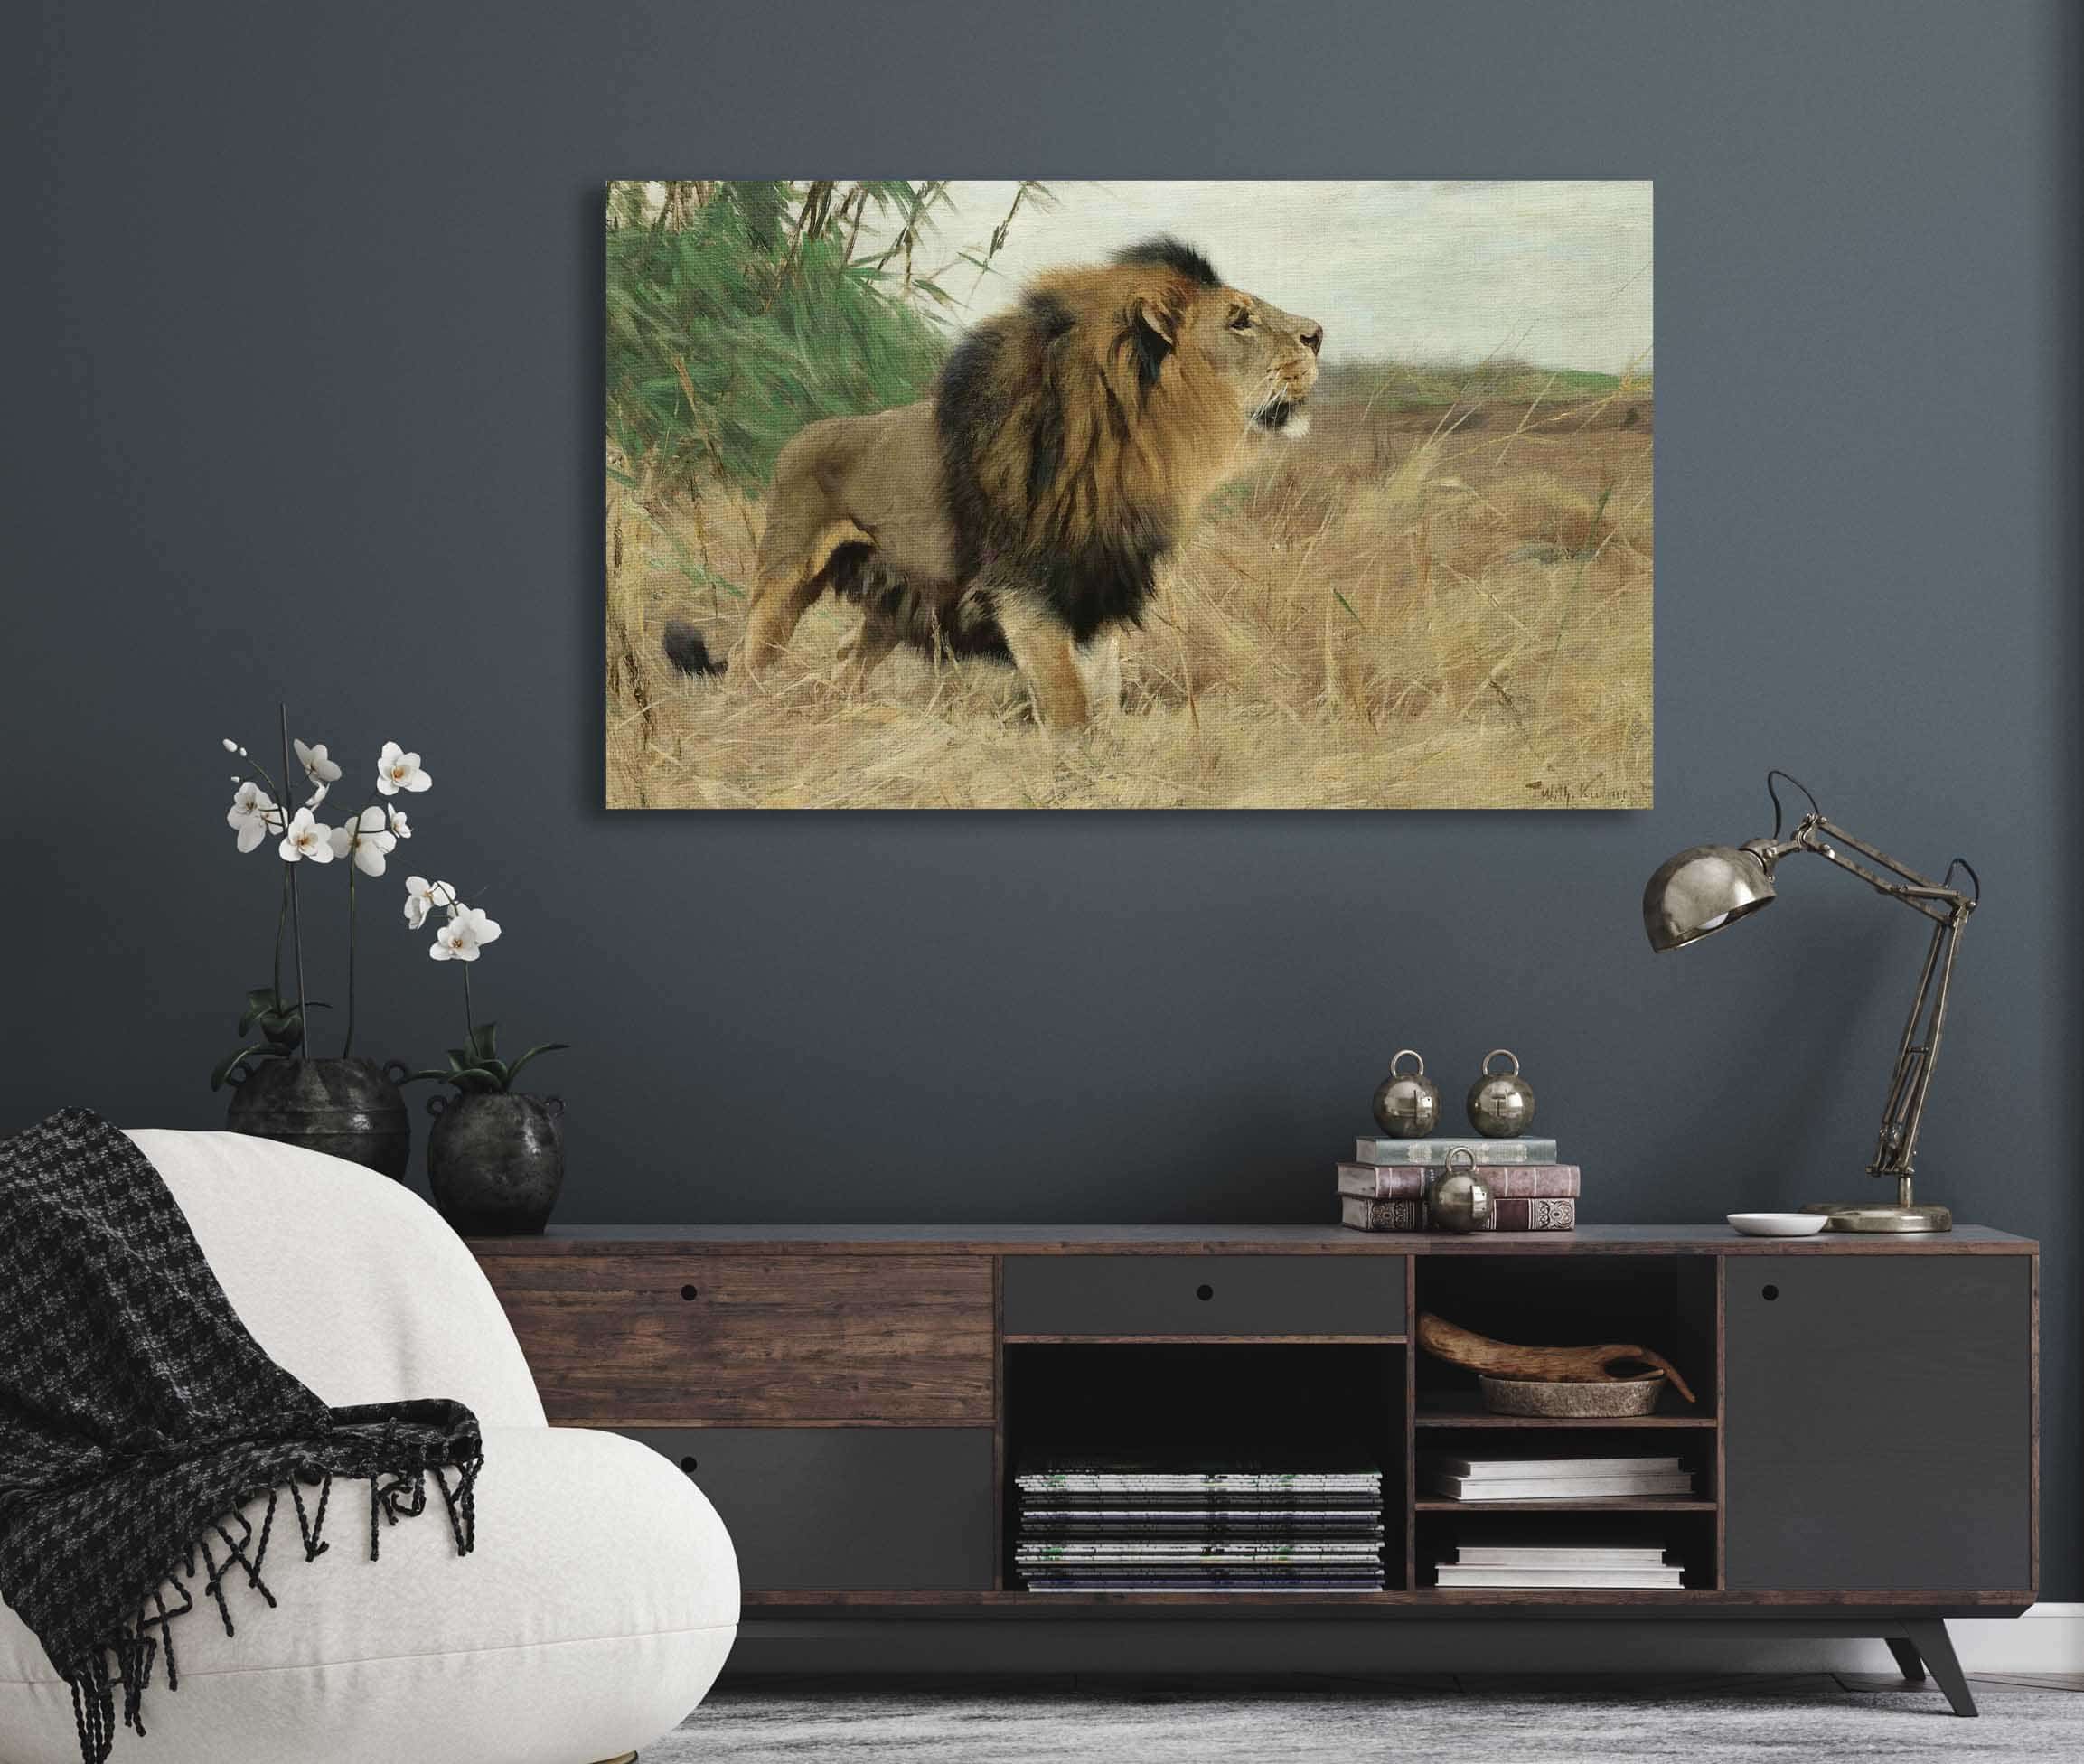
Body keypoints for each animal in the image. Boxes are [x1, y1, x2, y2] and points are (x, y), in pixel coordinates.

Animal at [664, 237, 1323, 727]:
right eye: (1240, 320)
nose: (1317, 334)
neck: (1140, 444)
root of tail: (801, 436)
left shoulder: (1097, 586)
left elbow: (1104, 696)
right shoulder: (1024, 590)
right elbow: (1069, 704)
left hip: (899, 599)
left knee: (845, 661)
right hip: (784, 580)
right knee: (747, 660)